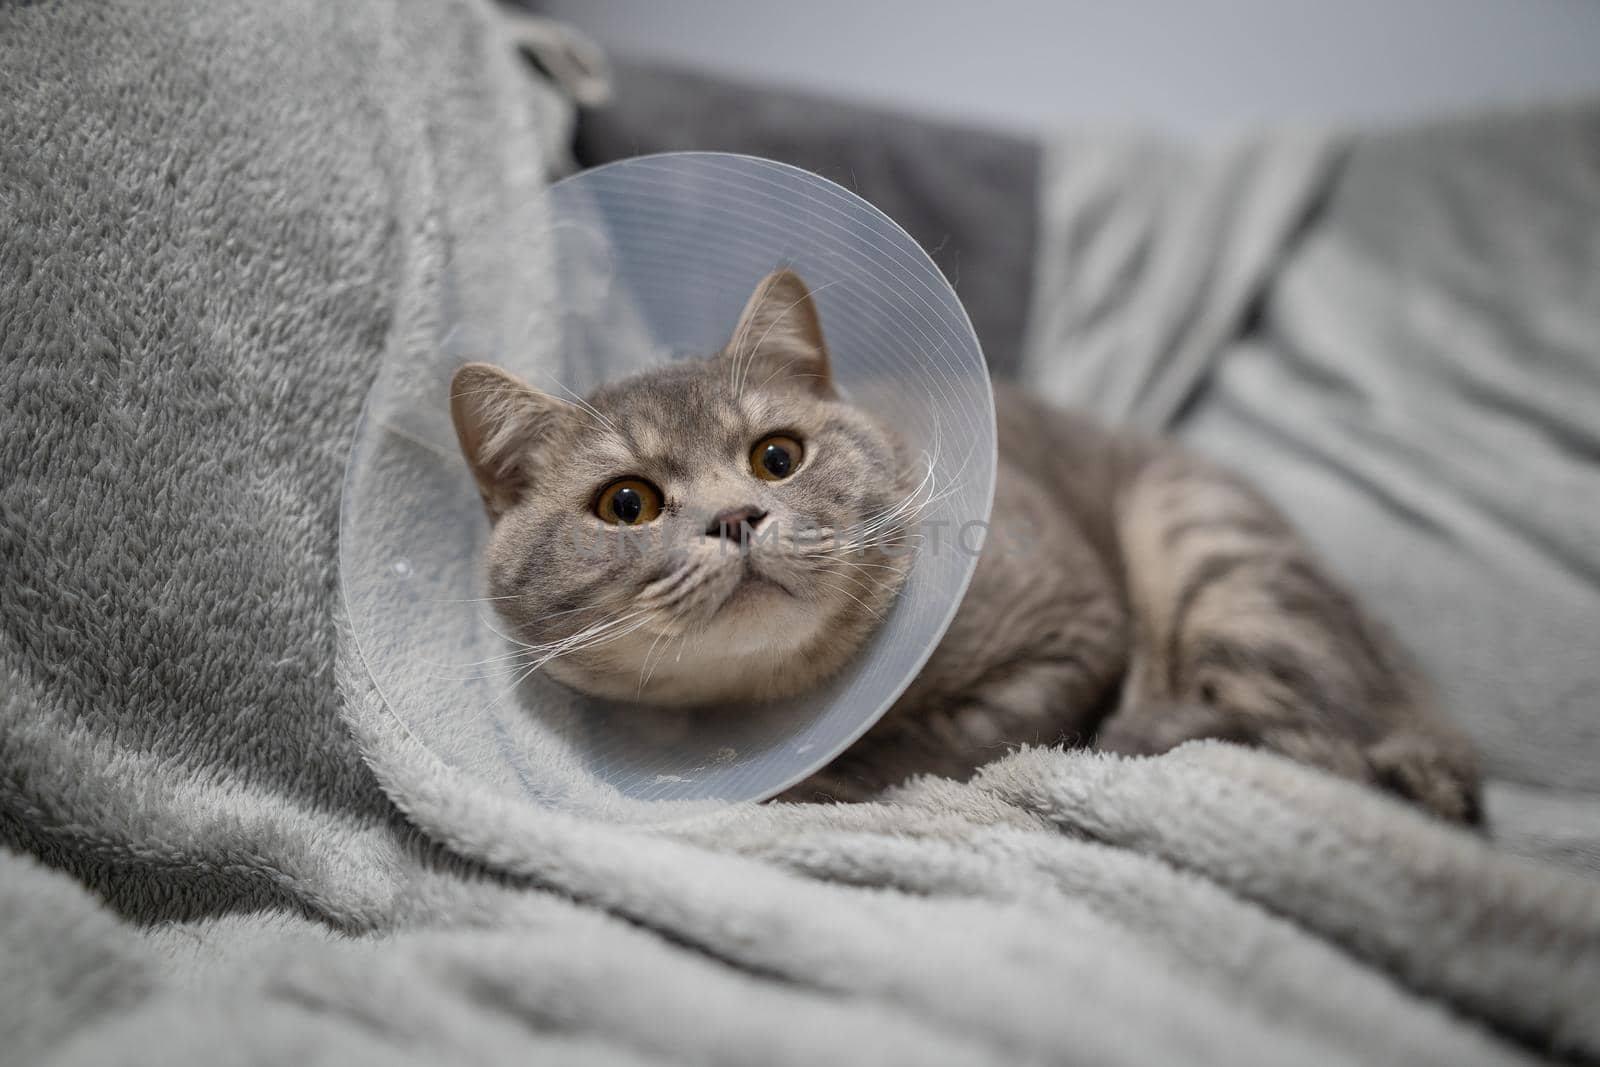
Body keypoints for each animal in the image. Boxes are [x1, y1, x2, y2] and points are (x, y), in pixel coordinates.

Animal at [451, 268, 1484, 825]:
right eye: (626, 503)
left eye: (776, 456)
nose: (738, 517)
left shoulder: (1071, 630)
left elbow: (950, 736)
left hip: (1212, 546)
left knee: (1306, 736)